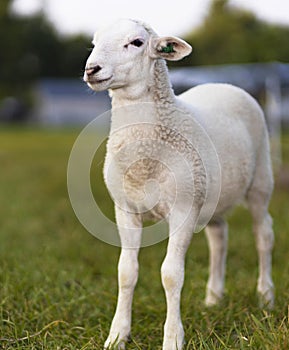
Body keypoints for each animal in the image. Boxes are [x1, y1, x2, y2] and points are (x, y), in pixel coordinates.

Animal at [82, 19, 274, 350]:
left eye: (136, 42)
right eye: (94, 43)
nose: (92, 68)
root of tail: (223, 84)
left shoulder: (184, 209)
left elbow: (171, 274)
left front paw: (172, 337)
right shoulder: (125, 209)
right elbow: (125, 272)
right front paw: (117, 335)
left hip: (260, 180)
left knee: (263, 234)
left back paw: (265, 296)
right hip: (210, 192)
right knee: (219, 237)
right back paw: (214, 297)